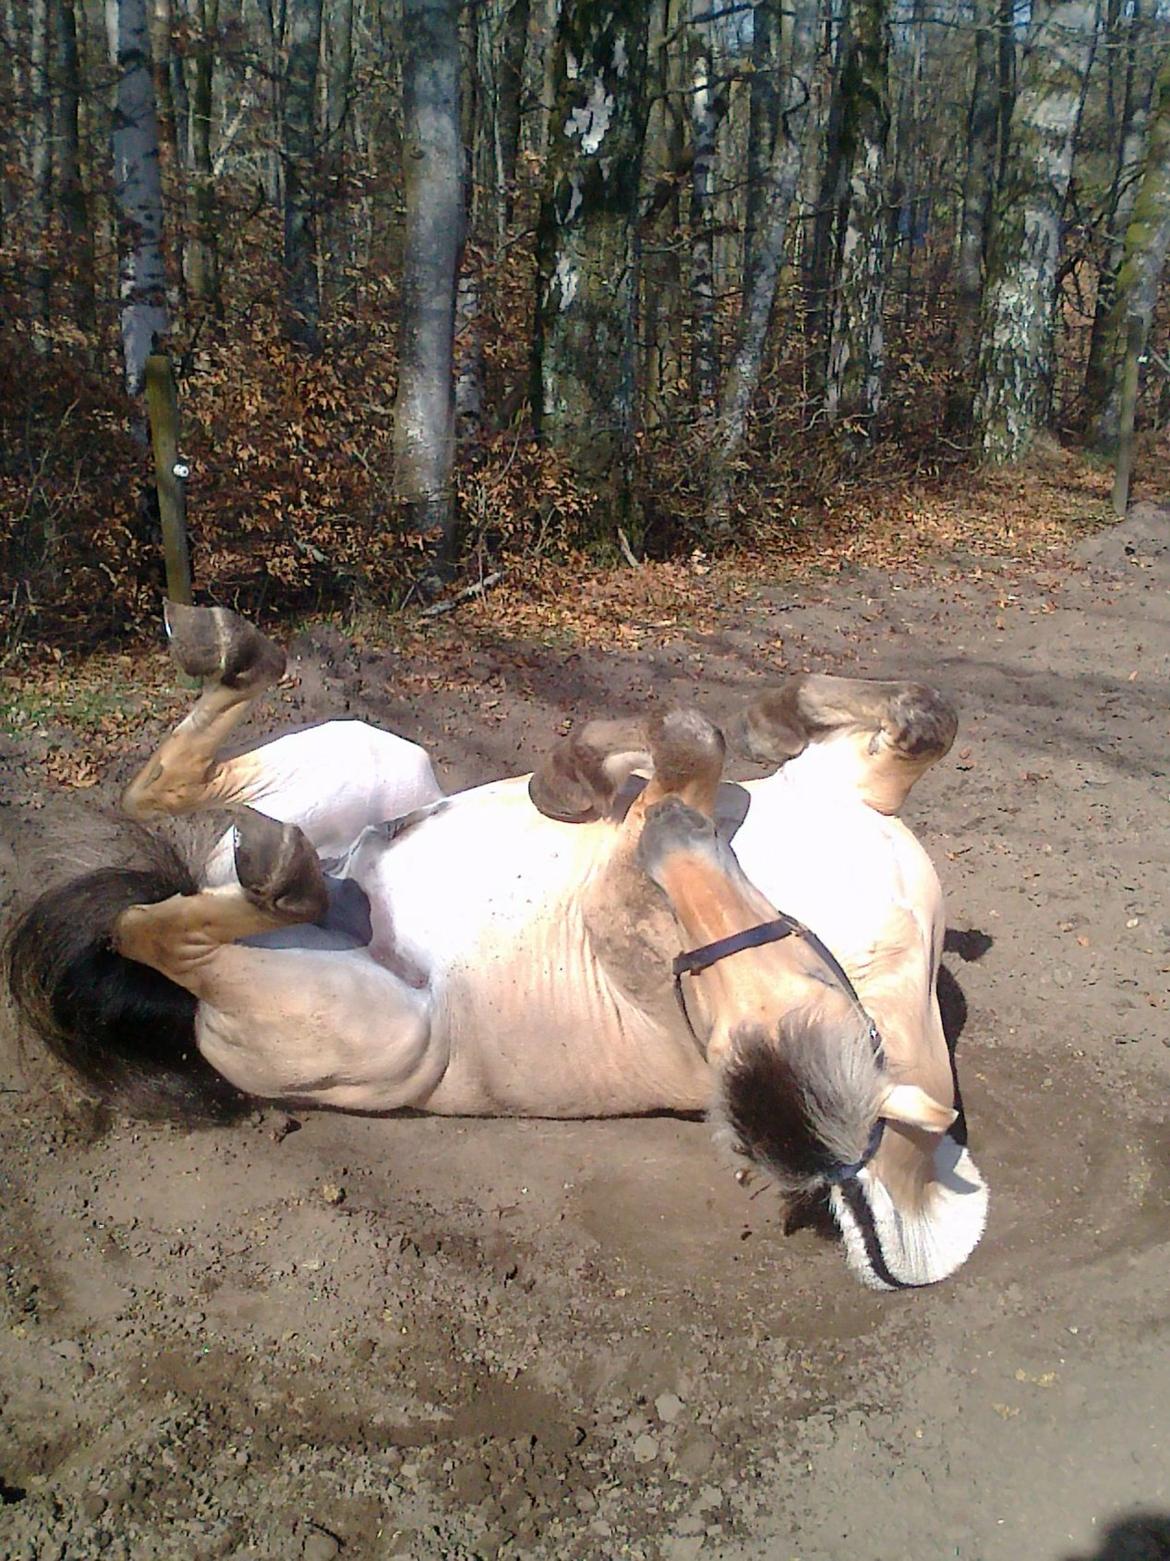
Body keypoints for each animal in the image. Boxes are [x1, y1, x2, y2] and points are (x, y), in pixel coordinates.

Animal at [2, 602, 992, 1286]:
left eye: (744, 1026)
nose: (678, 837)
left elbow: (701, 749)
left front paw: (622, 767)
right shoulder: (840, 783)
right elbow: (914, 714)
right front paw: (668, 744)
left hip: (383, 1023)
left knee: (154, 925)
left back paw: (281, 869)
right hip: (379, 753)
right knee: (165, 796)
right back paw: (233, 658)